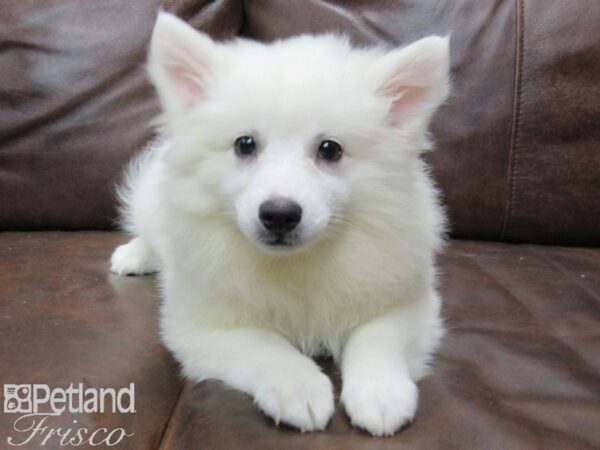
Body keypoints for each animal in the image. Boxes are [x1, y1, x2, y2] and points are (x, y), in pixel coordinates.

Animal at [111, 12, 450, 438]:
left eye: (330, 150)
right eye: (244, 144)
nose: (279, 214)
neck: (298, 264)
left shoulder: (410, 304)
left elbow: (377, 338)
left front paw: (379, 393)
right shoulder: (202, 325)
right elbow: (266, 346)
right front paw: (299, 388)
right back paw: (133, 255)